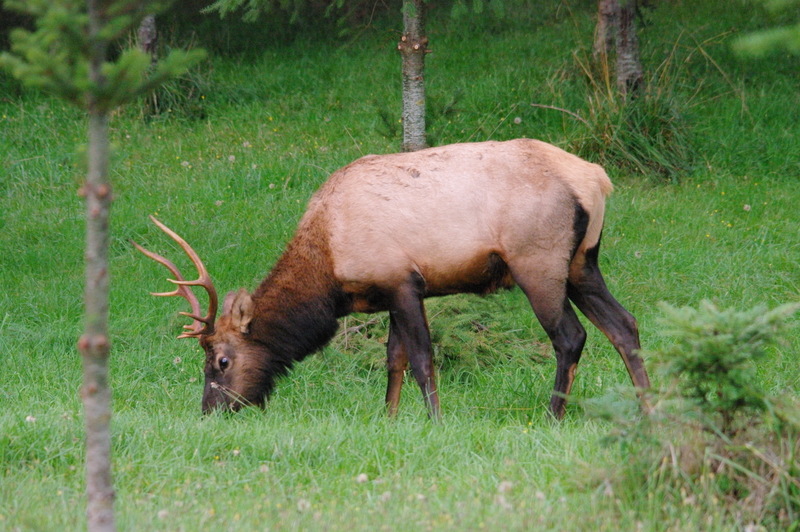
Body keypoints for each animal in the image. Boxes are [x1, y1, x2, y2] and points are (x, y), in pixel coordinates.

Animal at [136, 139, 648, 418]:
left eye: (221, 360)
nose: (211, 410)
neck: (329, 267)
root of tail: (597, 179)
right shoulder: (386, 292)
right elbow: (393, 360)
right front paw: (388, 418)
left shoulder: (403, 280)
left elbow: (422, 358)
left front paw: (436, 421)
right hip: (583, 263)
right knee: (625, 326)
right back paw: (648, 405)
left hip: (538, 262)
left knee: (570, 336)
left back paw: (552, 414)